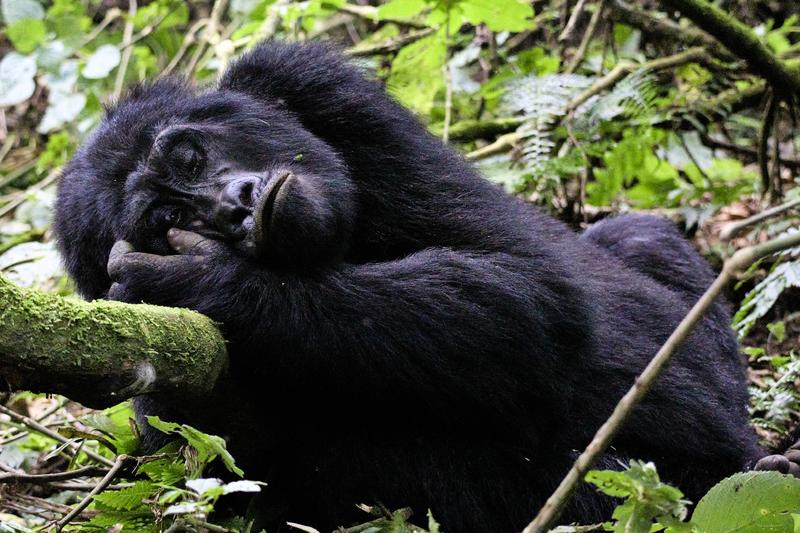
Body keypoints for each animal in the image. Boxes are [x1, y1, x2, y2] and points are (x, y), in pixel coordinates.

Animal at [54, 42, 776, 532]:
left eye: (188, 156)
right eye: (166, 219)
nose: (237, 204)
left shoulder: (319, 86)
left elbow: (531, 290)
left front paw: (208, 279)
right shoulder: (174, 414)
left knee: (641, 238)